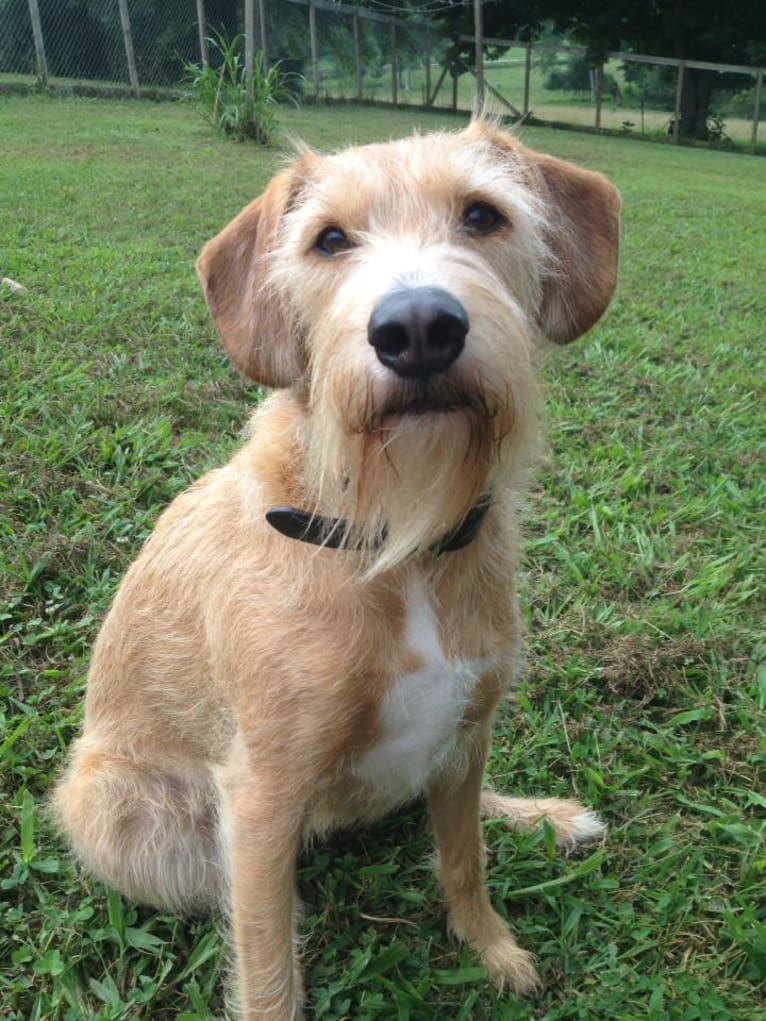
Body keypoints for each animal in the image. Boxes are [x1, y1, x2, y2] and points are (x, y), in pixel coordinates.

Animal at [56, 121, 625, 1021]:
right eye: (328, 240)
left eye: (482, 215)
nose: (418, 326)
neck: (393, 535)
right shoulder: (261, 795)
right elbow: (267, 964)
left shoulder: (469, 726)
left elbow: (463, 856)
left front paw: (492, 946)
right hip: (119, 812)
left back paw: (542, 814)